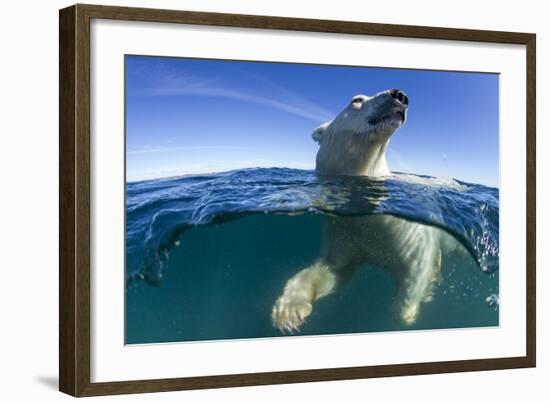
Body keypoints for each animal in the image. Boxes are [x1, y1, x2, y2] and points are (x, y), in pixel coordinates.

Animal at [272, 90, 462, 332]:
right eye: (357, 100)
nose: (400, 95)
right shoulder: (346, 232)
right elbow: (333, 269)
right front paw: (288, 310)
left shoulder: (412, 236)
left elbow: (418, 271)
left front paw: (407, 312)